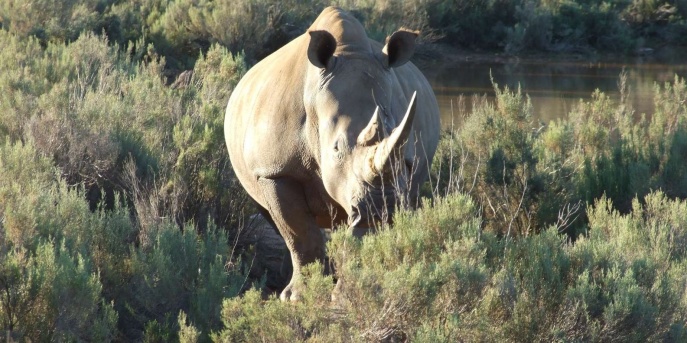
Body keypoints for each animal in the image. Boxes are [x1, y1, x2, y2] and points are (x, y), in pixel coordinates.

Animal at [226, 5, 440, 300]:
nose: (382, 207)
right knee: (273, 218)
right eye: (336, 149)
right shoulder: (273, 171)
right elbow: (298, 232)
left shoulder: (399, 173)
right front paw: (298, 297)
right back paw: (284, 279)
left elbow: (360, 237)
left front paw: (350, 293)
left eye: (394, 130)